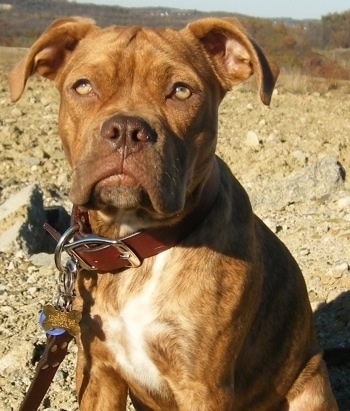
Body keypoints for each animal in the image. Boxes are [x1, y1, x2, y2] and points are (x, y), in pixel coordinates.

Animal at [8, 16, 336, 411]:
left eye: (181, 91)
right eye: (83, 87)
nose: (126, 130)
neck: (134, 243)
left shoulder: (203, 388)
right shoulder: (99, 371)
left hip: (312, 387)